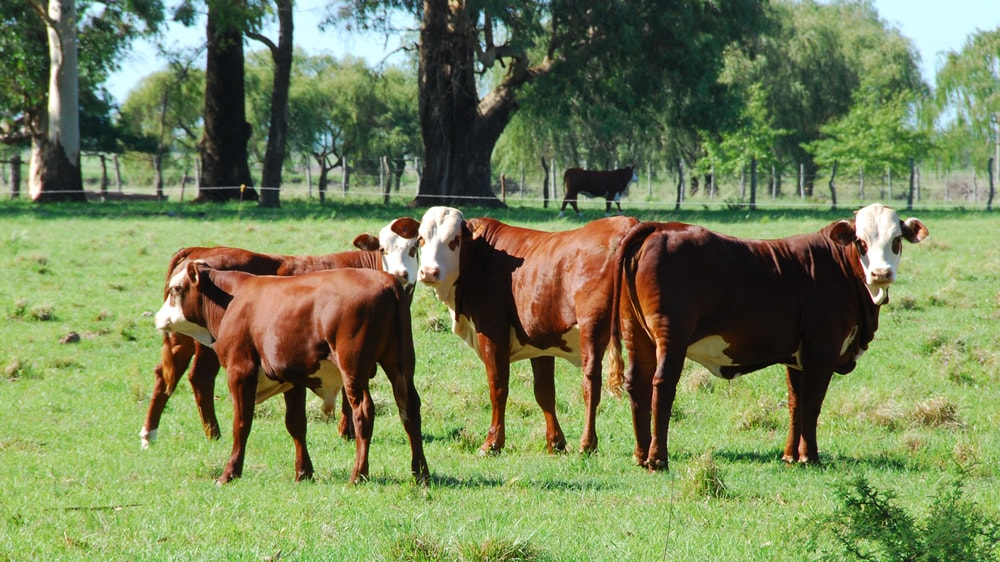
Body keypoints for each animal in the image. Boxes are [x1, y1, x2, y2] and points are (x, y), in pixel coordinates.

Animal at [139, 217, 420, 448]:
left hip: (181, 337)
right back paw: (211, 433)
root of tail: (200, 249)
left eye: (414, 247)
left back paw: (152, 434)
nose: (401, 274)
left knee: (167, 374)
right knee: (199, 378)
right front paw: (347, 432)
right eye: (383, 249)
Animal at [154, 262, 428, 482]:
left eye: (175, 289)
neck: (232, 300)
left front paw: (230, 473)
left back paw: (358, 475)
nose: (157, 317)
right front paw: (303, 472)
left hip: (354, 369)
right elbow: (296, 424)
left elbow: (241, 423)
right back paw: (420, 473)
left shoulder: (240, 371)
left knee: (363, 413)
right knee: (410, 410)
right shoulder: (292, 378)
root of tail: (386, 281)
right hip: (401, 364)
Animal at [416, 206, 636, 456]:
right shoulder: (541, 342)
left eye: (454, 241)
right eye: (421, 239)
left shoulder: (492, 335)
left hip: (593, 331)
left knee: (591, 385)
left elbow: (498, 388)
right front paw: (555, 443)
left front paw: (492, 443)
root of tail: (625, 223)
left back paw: (588, 444)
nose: (429, 272)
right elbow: (544, 392)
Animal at [608, 203, 928, 470]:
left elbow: (795, 403)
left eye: (896, 241)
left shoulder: (797, 358)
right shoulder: (821, 351)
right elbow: (812, 402)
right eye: (861, 242)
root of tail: (659, 227)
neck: (837, 268)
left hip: (636, 332)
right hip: (670, 335)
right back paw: (658, 458)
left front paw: (791, 455)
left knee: (637, 384)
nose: (881, 273)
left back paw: (641, 455)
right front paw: (810, 456)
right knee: (662, 385)